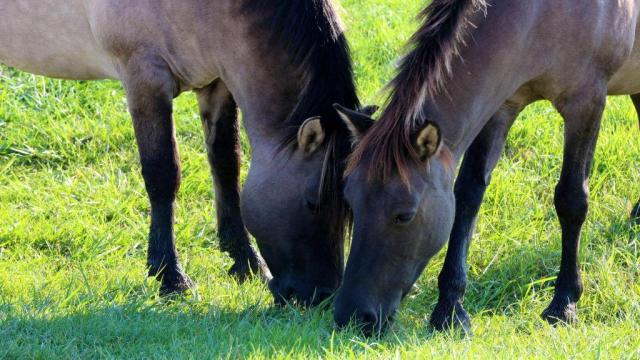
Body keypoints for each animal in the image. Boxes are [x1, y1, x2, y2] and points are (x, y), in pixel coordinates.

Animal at [0, 0, 364, 306]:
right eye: (312, 203)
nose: (321, 295)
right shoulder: (145, 78)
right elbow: (162, 175)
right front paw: (170, 277)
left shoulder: (217, 82)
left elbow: (226, 167)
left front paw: (245, 262)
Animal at [332, 0, 640, 334]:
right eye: (351, 203)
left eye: (404, 216)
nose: (351, 316)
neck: (544, 15)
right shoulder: (501, 105)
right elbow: (468, 197)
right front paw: (450, 308)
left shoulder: (586, 103)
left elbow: (571, 200)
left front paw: (564, 302)